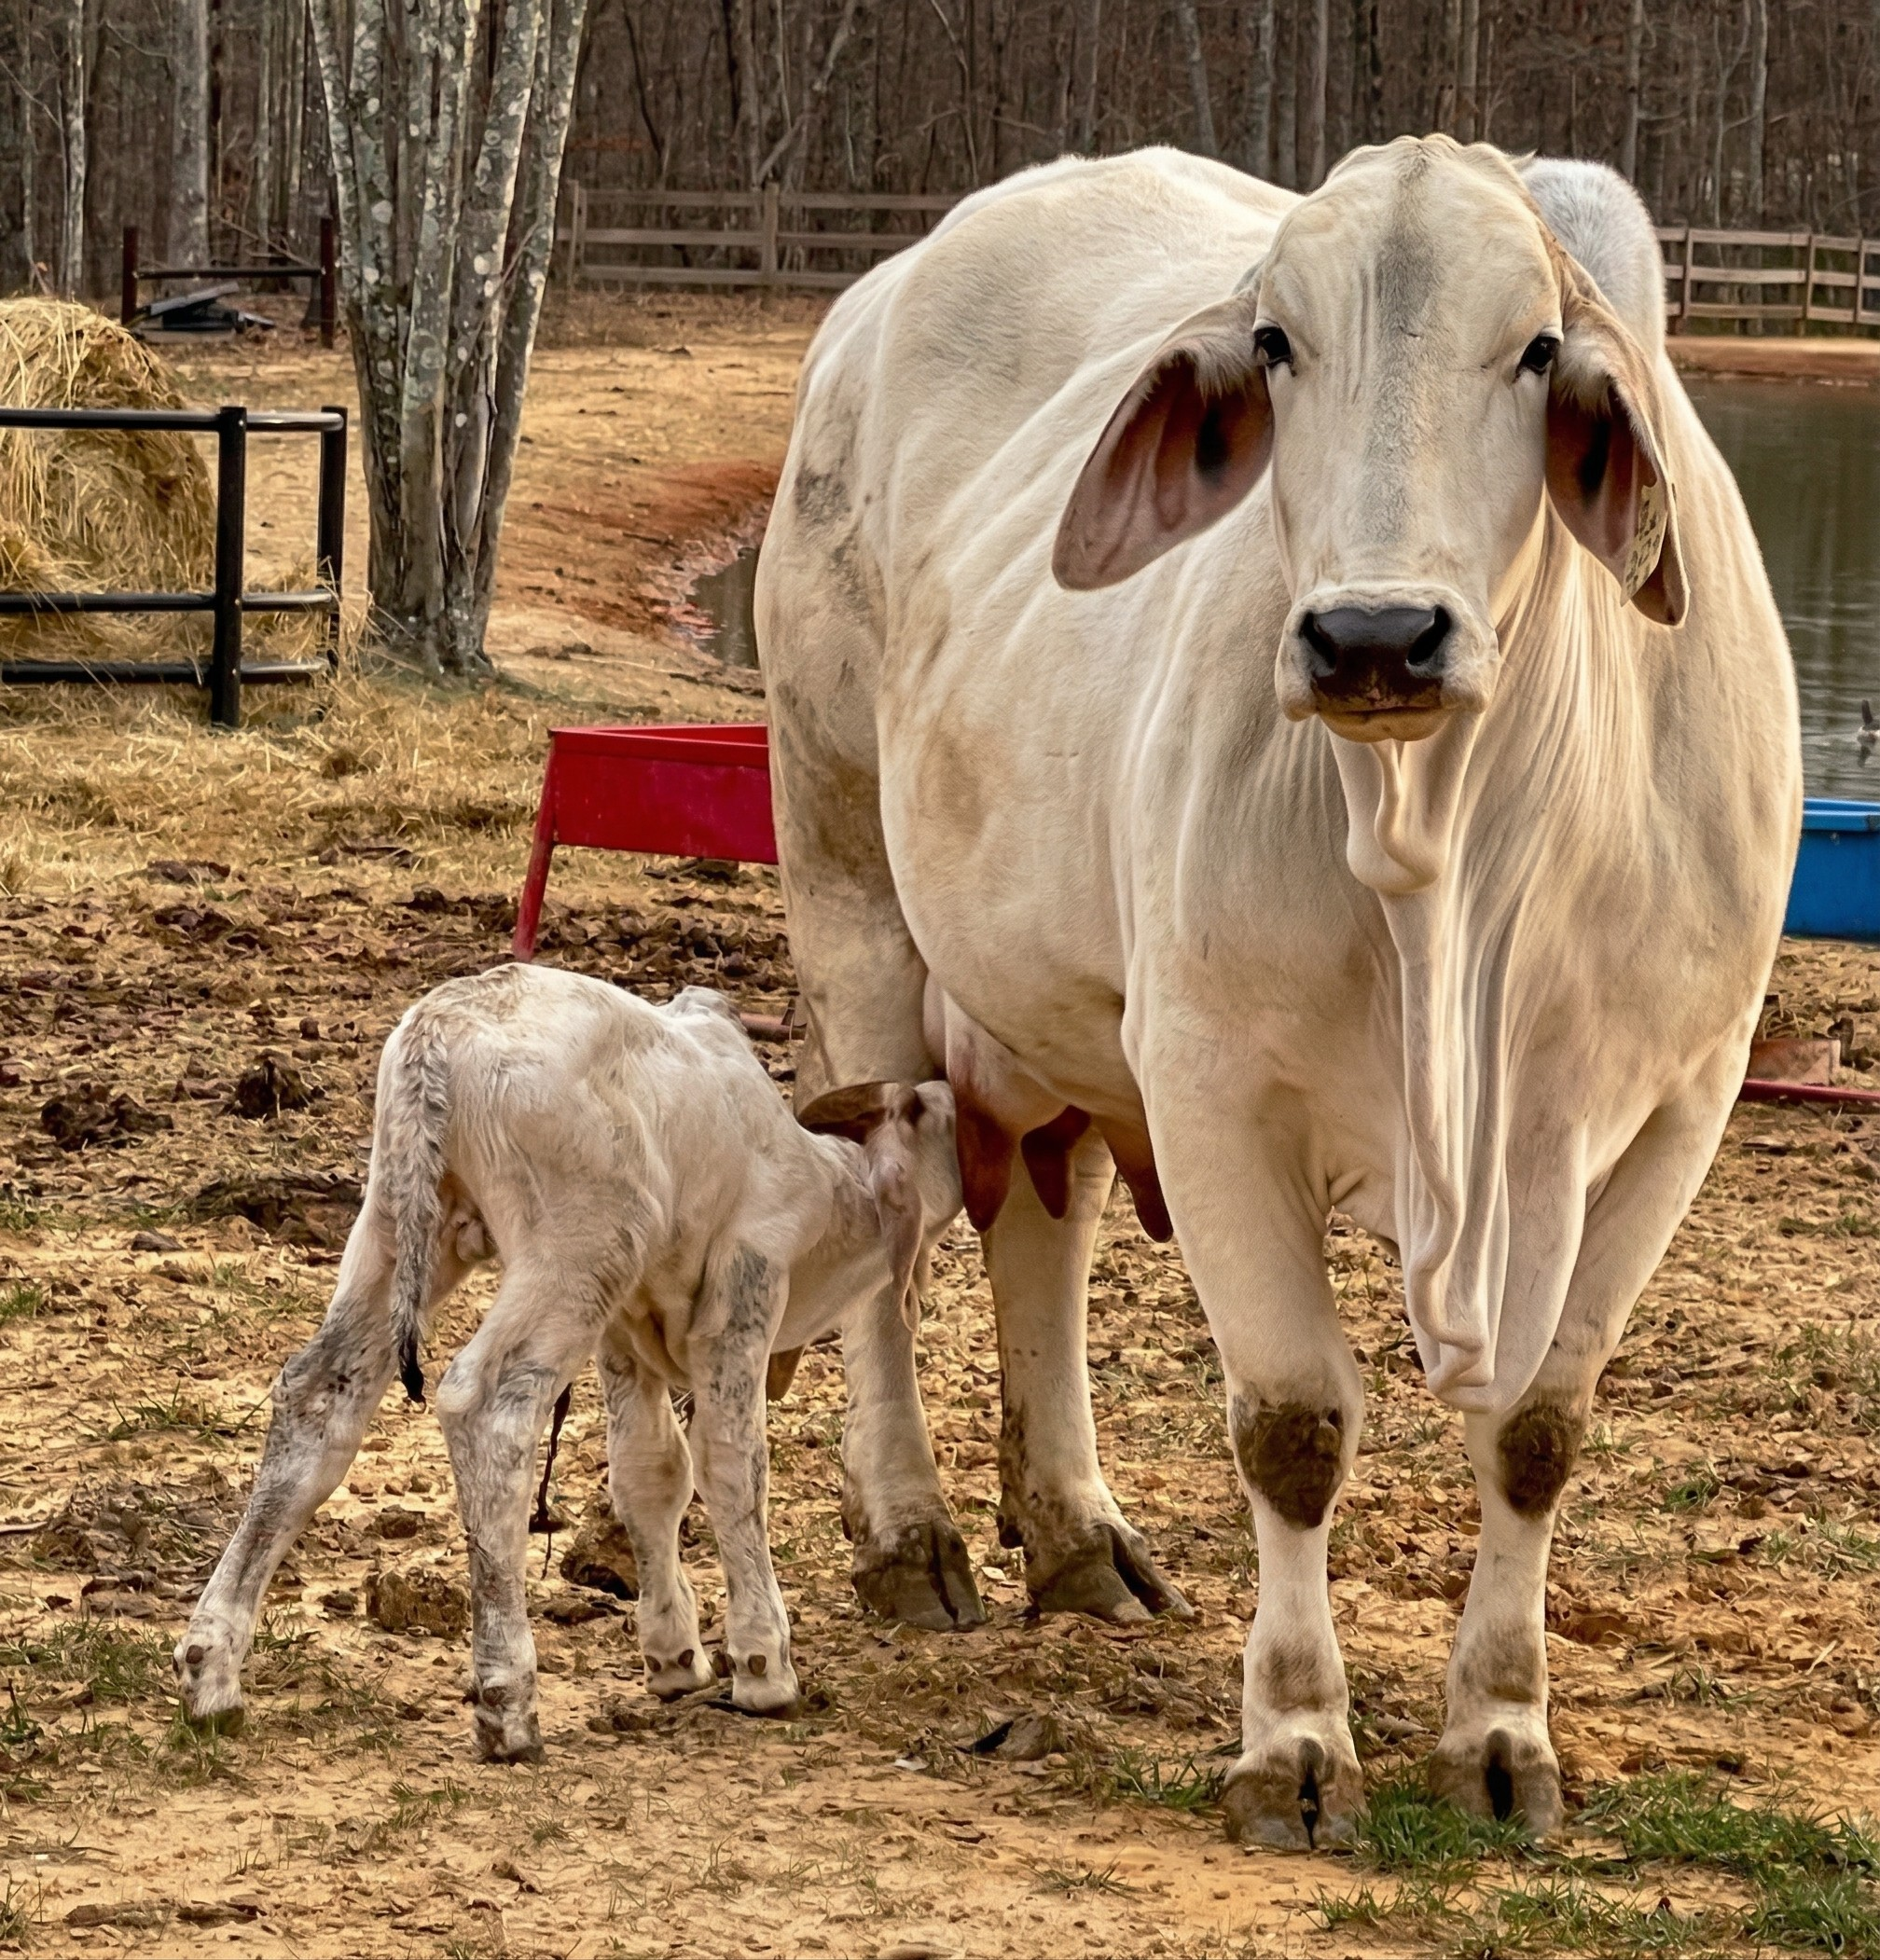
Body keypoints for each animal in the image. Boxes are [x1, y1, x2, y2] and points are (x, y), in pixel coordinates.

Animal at [175, 969, 961, 1759]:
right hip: (582, 1246)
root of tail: (439, 1028)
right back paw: (507, 1699)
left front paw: (674, 1656)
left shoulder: (624, 1332)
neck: (827, 1187)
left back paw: (212, 1675)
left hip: (401, 1224)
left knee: (317, 1396)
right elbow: (731, 1464)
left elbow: (649, 1471)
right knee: (488, 1406)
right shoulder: (743, 1289)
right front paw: (764, 1664)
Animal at [754, 137, 1799, 1846]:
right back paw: (911, 1536)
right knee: (889, 1222)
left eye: (1534, 349)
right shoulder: (1213, 1079)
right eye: (1276, 343)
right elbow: (1294, 1426)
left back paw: (1074, 1533)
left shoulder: (1675, 1109)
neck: (1450, 852)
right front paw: (1296, 1741)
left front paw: (1502, 1734)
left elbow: (1537, 1429)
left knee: (1043, 1217)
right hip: (848, 880)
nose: (1374, 633)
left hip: (1058, 1009)